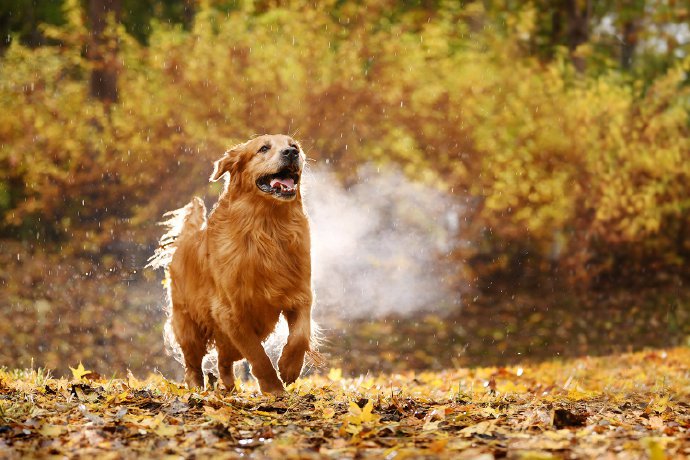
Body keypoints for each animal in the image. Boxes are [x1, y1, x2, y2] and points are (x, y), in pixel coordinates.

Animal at [149, 134, 316, 396]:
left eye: (294, 145)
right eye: (263, 148)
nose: (291, 153)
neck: (267, 229)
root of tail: (186, 239)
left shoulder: (300, 293)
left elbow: (301, 333)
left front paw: (289, 367)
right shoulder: (231, 311)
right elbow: (257, 354)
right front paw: (273, 389)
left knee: (223, 360)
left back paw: (227, 387)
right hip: (189, 326)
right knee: (193, 364)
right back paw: (197, 388)